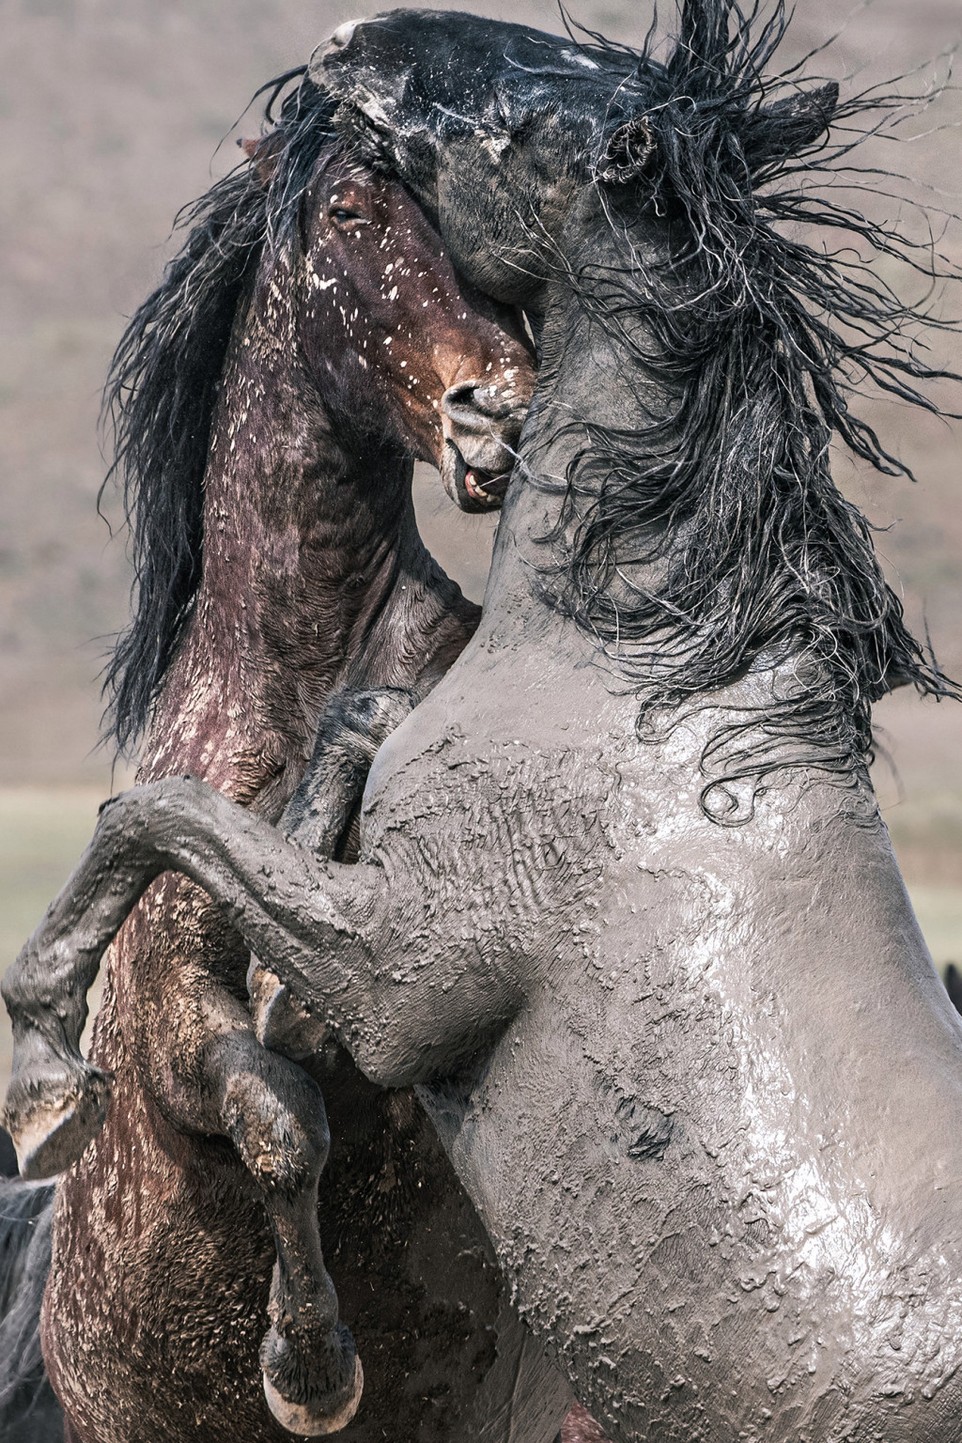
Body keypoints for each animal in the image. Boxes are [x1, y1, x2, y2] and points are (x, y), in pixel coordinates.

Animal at [1, 2, 962, 1443]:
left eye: (504, 134)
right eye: (348, 212)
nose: (491, 414)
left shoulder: (404, 970)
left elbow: (174, 836)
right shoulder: (209, 1012)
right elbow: (253, 1010)